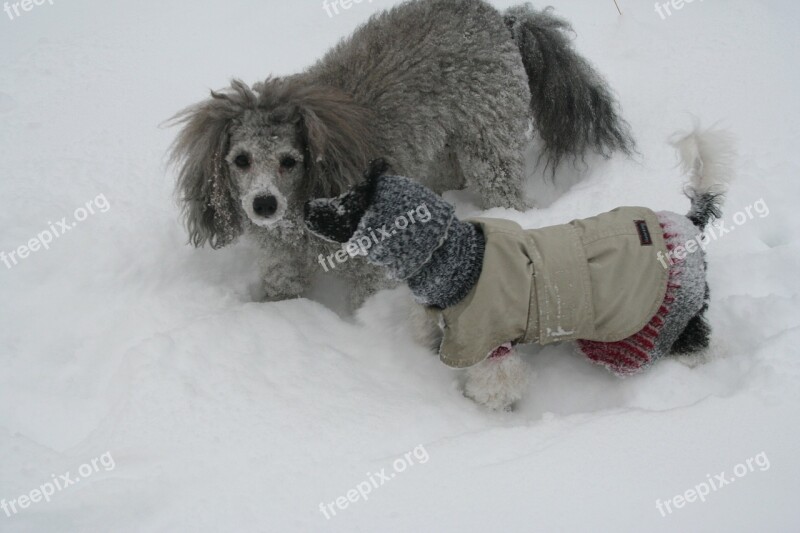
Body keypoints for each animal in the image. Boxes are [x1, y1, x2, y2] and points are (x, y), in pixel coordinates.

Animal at [167, 0, 632, 306]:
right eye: (240, 160)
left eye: (290, 161)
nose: (263, 205)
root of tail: (499, 17)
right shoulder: (283, 260)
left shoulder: (364, 261)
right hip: (443, 147)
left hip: (490, 139)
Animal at [304, 127, 736, 410]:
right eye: (345, 194)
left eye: (350, 205)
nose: (307, 207)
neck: (456, 262)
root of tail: (686, 224)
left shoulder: (489, 344)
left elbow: (493, 385)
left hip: (641, 328)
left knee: (695, 343)